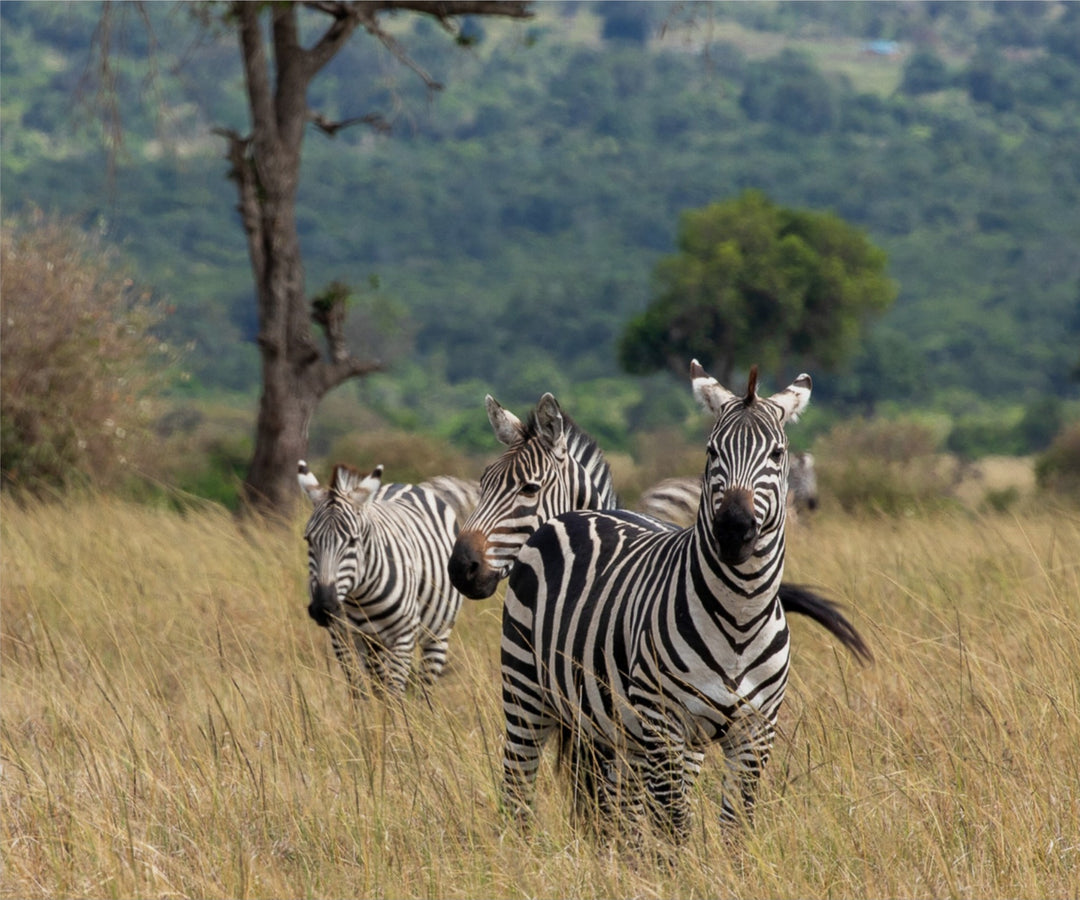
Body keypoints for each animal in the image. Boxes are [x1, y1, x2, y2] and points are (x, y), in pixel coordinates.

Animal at [298, 460, 463, 699]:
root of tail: (412, 485)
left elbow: (394, 694)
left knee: (424, 688)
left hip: (438, 634)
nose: (323, 608)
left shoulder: (403, 636)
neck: (359, 597)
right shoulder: (341, 636)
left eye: (353, 541)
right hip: (375, 644)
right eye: (309, 540)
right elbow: (359, 692)